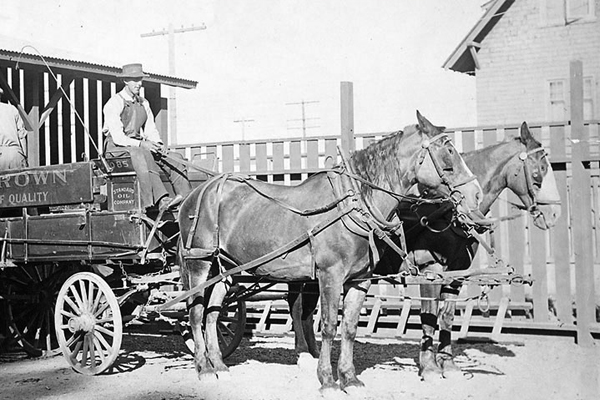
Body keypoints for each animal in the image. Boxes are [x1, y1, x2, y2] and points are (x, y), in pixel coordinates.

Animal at [176, 111, 480, 394]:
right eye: (448, 153)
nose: (475, 194)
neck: (354, 202)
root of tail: (198, 192)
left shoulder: (360, 279)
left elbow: (350, 328)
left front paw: (349, 378)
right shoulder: (329, 275)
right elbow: (330, 325)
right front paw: (327, 380)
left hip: (224, 268)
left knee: (213, 314)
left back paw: (219, 365)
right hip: (200, 263)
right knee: (196, 312)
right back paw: (204, 368)